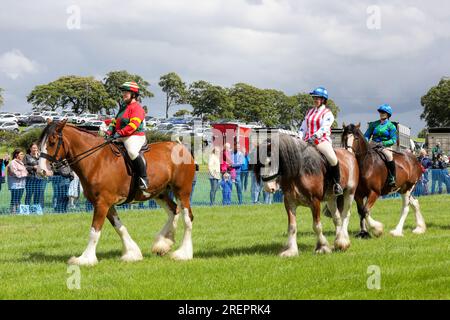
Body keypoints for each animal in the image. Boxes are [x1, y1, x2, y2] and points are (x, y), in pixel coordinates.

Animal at [39, 120, 198, 264]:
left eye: (52, 142)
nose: (41, 170)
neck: (96, 160)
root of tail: (181, 146)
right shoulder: (105, 204)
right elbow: (119, 227)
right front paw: (132, 253)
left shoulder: (102, 203)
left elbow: (94, 231)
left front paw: (85, 258)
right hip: (159, 193)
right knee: (173, 210)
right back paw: (162, 244)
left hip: (182, 192)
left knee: (187, 218)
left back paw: (183, 253)